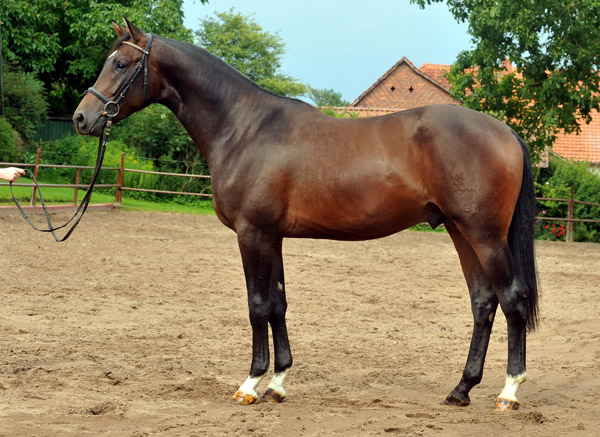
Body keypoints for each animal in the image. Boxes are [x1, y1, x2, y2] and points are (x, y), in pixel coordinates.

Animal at [74, 18, 540, 410]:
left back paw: (509, 392)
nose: (82, 117)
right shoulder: (272, 236)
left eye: (120, 63)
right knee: (483, 302)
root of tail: (505, 131)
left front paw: (250, 384)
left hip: (484, 235)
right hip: (461, 232)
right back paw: (461, 389)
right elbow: (278, 304)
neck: (245, 128)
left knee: (512, 299)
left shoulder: (252, 233)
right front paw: (278, 384)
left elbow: (257, 305)